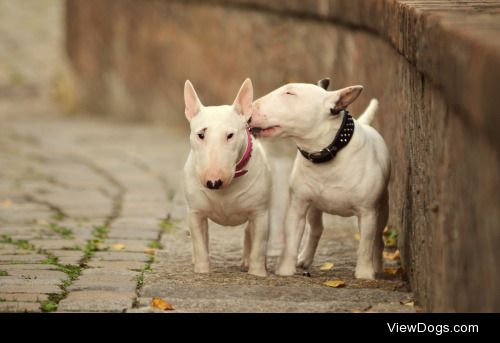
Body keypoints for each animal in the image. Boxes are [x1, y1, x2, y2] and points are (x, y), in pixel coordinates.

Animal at [183, 78, 270, 276]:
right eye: (201, 134)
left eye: (230, 135)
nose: (213, 182)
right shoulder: (195, 213)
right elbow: (200, 242)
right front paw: (202, 271)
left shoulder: (260, 213)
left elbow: (259, 245)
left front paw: (257, 273)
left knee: (249, 233)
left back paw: (247, 261)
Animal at [252, 79, 388, 280]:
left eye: (290, 93)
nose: (251, 107)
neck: (325, 155)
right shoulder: (298, 206)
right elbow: (292, 239)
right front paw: (285, 270)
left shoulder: (367, 212)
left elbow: (365, 244)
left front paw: (364, 274)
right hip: (315, 207)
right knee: (316, 230)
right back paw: (304, 259)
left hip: (383, 207)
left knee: (378, 238)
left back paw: (377, 267)